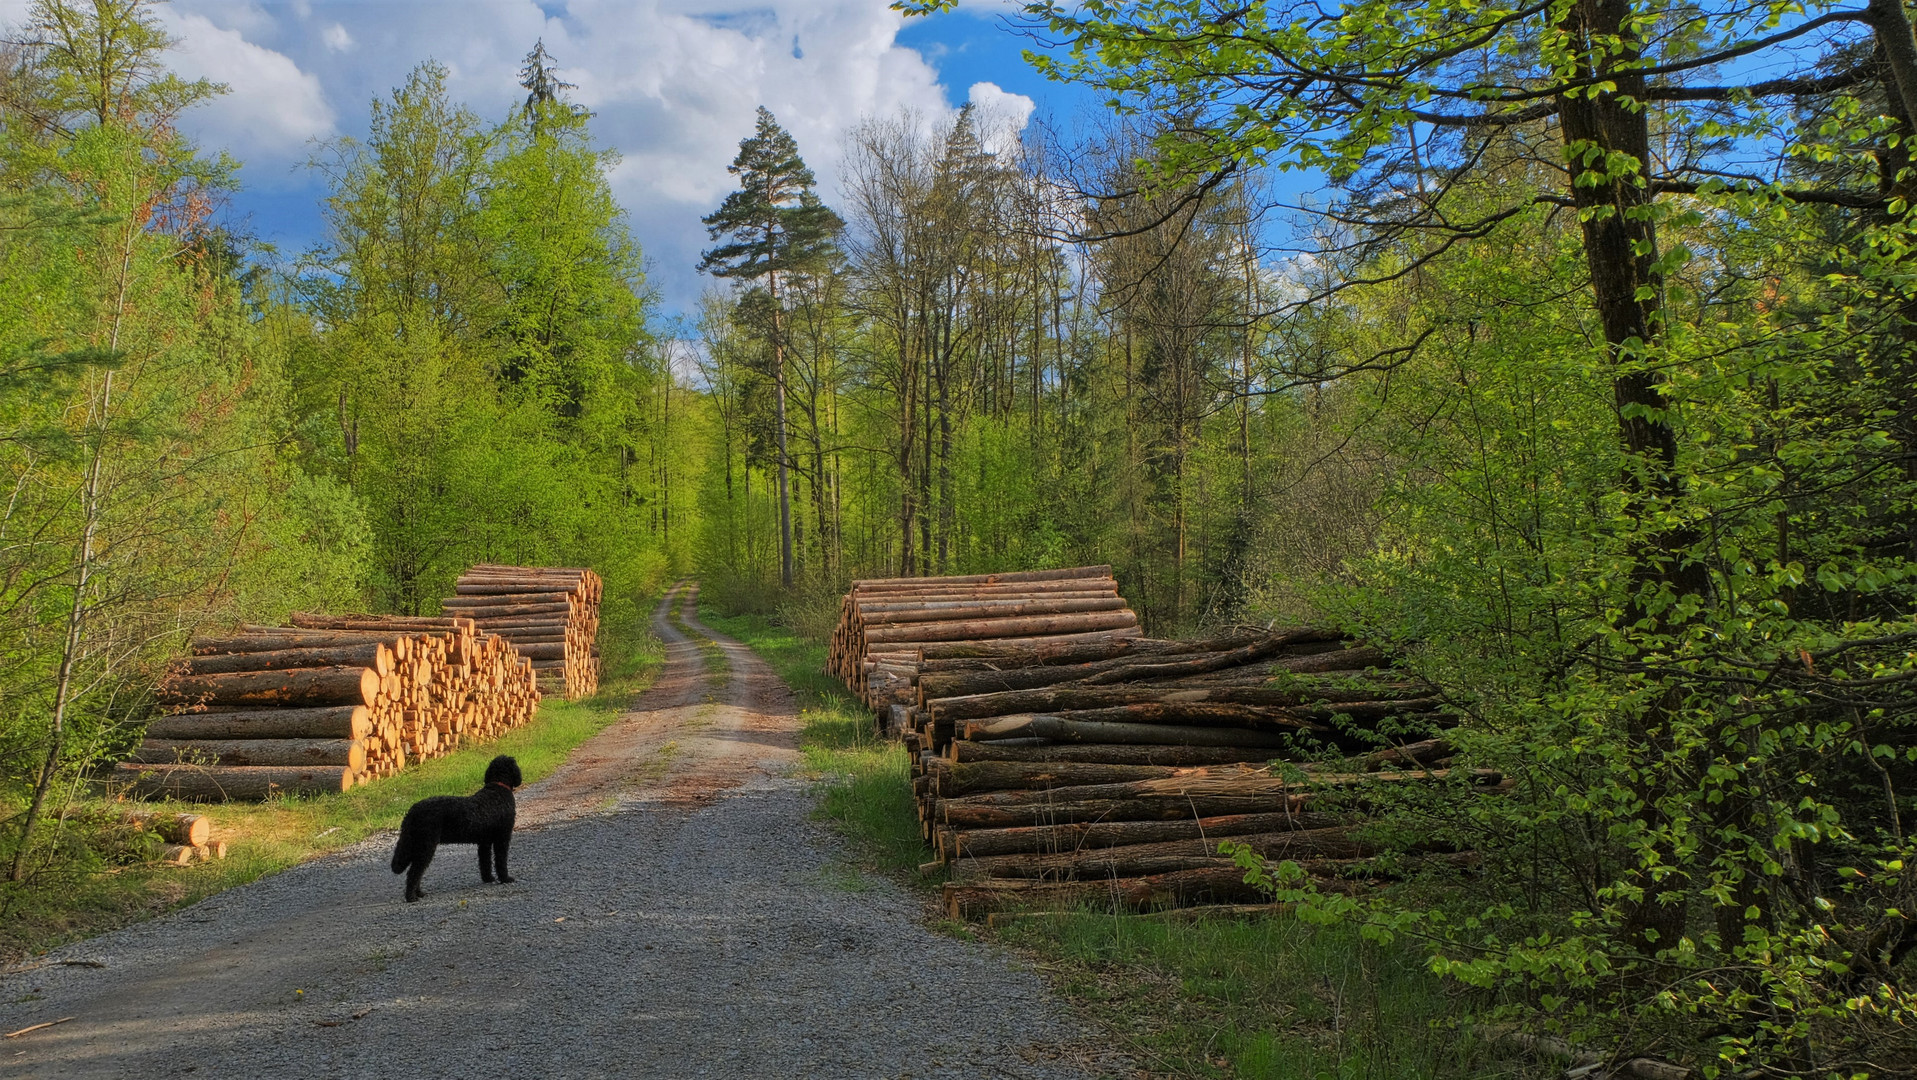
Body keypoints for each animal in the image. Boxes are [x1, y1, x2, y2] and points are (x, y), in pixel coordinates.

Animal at [392, 755, 521, 901]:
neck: (498, 788)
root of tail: (412, 810)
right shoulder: (502, 838)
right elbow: (501, 861)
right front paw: (505, 878)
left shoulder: (485, 843)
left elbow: (485, 862)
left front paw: (488, 878)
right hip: (426, 846)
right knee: (414, 873)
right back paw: (411, 897)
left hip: (417, 845)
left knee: (417, 872)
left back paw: (419, 893)